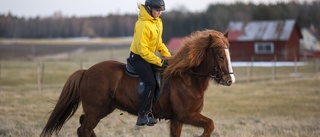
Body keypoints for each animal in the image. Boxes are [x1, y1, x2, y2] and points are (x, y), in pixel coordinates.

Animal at [40, 29, 235, 136]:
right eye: (220, 55)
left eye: (229, 53)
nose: (230, 79)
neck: (187, 79)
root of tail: (86, 71)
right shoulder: (185, 115)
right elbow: (210, 125)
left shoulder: (176, 120)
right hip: (96, 110)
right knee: (83, 130)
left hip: (102, 109)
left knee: (83, 125)